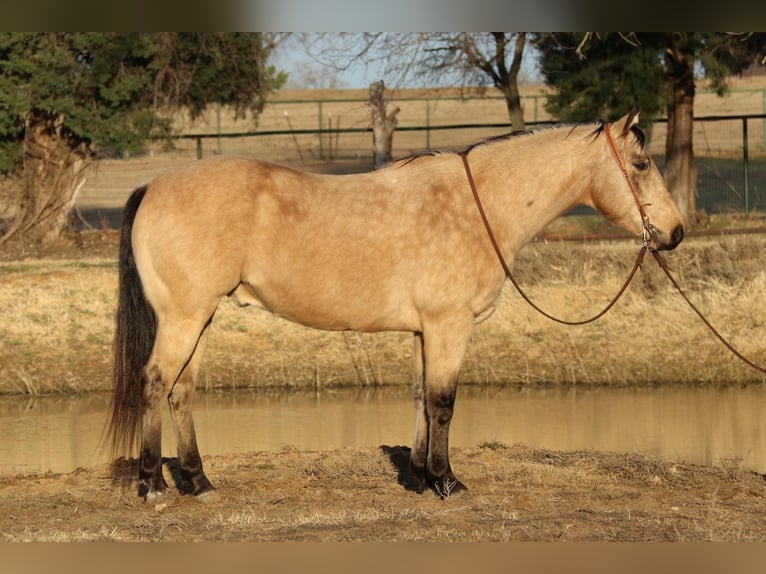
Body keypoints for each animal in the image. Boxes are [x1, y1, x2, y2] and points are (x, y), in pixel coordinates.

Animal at [106, 110, 684, 502]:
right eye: (641, 163)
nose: (675, 233)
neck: (479, 205)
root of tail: (153, 186)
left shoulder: (425, 331)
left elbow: (421, 399)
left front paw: (422, 478)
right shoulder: (450, 327)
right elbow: (444, 401)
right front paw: (448, 482)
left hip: (201, 319)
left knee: (182, 391)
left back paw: (199, 481)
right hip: (184, 319)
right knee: (155, 383)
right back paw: (153, 484)